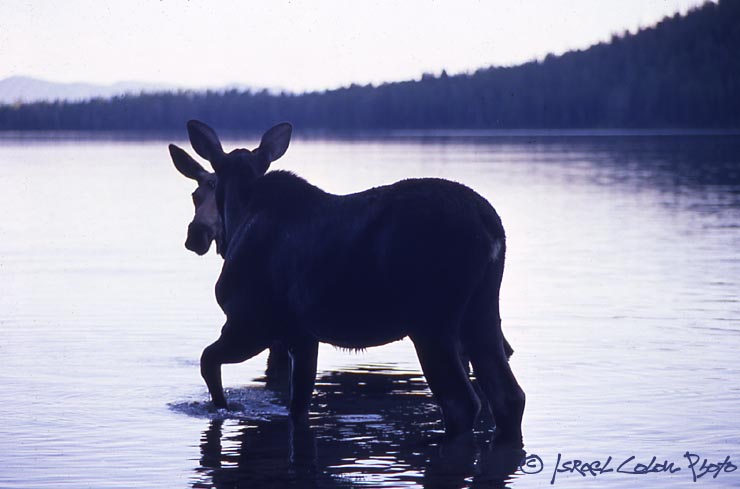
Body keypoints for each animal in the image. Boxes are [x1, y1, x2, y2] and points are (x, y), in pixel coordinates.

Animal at [168, 120, 528, 440]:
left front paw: (221, 407)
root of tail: (491, 226)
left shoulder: (251, 322)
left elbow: (208, 361)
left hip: (433, 323)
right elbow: (298, 406)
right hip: (481, 311)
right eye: (195, 196)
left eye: (205, 193)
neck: (238, 214)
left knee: (461, 403)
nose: (197, 234)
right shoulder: (302, 335)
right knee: (509, 397)